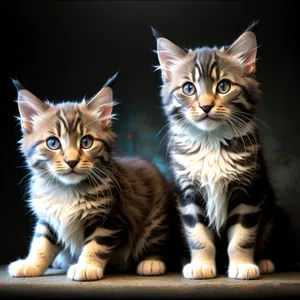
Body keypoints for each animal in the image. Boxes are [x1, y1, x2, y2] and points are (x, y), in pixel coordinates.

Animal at [7, 75, 171, 282]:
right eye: (53, 143)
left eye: (86, 142)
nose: (71, 161)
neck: (66, 191)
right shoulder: (48, 219)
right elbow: (41, 243)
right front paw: (31, 264)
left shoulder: (108, 218)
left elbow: (96, 244)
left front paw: (87, 266)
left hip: (156, 218)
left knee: (157, 241)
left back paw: (151, 262)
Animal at [154, 24, 298, 280]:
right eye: (188, 88)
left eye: (223, 86)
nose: (206, 106)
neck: (211, 142)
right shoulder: (188, 194)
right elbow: (198, 236)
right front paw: (201, 264)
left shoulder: (249, 191)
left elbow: (243, 236)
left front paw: (243, 265)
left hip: (276, 212)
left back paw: (264, 262)